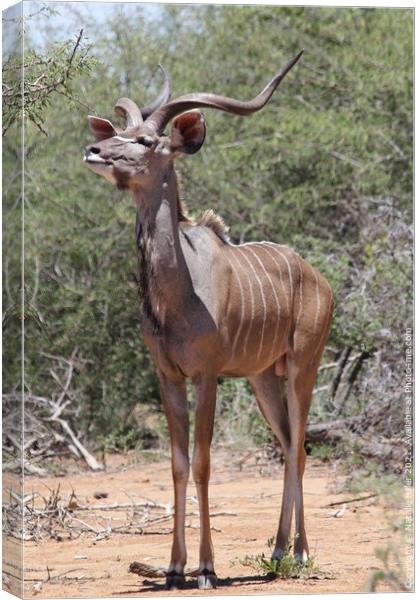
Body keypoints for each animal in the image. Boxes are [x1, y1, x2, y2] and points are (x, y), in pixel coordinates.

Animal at [84, 52, 334, 592]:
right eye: (118, 131)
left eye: (145, 141)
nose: (93, 150)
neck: (178, 294)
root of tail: (319, 279)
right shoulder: (168, 376)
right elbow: (177, 464)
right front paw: (173, 568)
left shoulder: (207, 375)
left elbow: (201, 462)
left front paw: (206, 569)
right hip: (263, 380)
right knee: (288, 444)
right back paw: (277, 551)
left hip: (302, 368)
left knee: (300, 448)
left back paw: (302, 553)